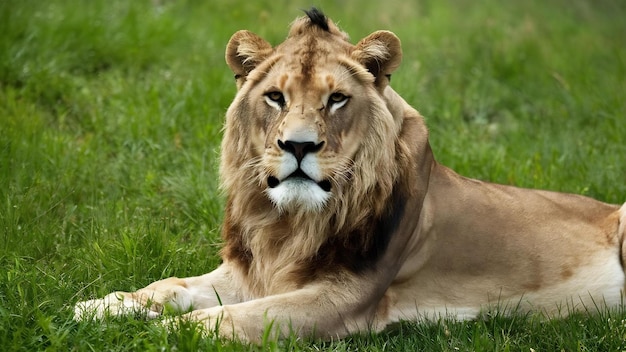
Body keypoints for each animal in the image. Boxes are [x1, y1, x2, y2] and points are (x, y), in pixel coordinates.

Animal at [75, 8, 624, 342]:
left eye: (337, 99)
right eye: (275, 97)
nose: (298, 145)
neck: (289, 222)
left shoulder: (345, 297)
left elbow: (227, 318)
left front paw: (154, 333)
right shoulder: (252, 272)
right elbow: (169, 286)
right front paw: (103, 307)